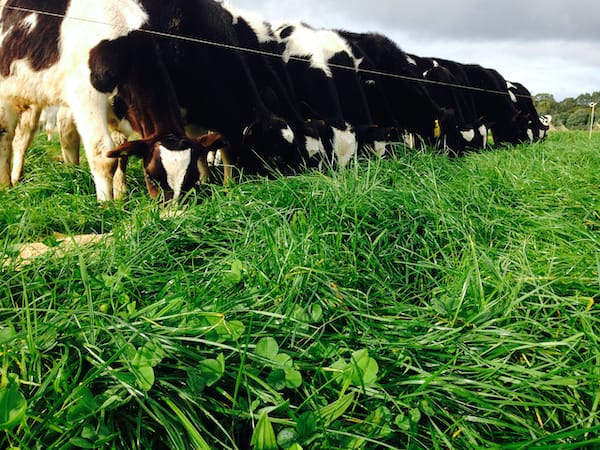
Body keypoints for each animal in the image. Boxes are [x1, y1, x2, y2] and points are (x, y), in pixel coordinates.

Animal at [0, 0, 223, 200]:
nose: (173, 213)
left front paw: (120, 196)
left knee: (21, 135)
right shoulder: (86, 98)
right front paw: (105, 205)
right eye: (151, 176)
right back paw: (5, 185)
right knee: (6, 134)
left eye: (191, 178)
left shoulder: (118, 109)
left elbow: (120, 151)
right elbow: (103, 154)